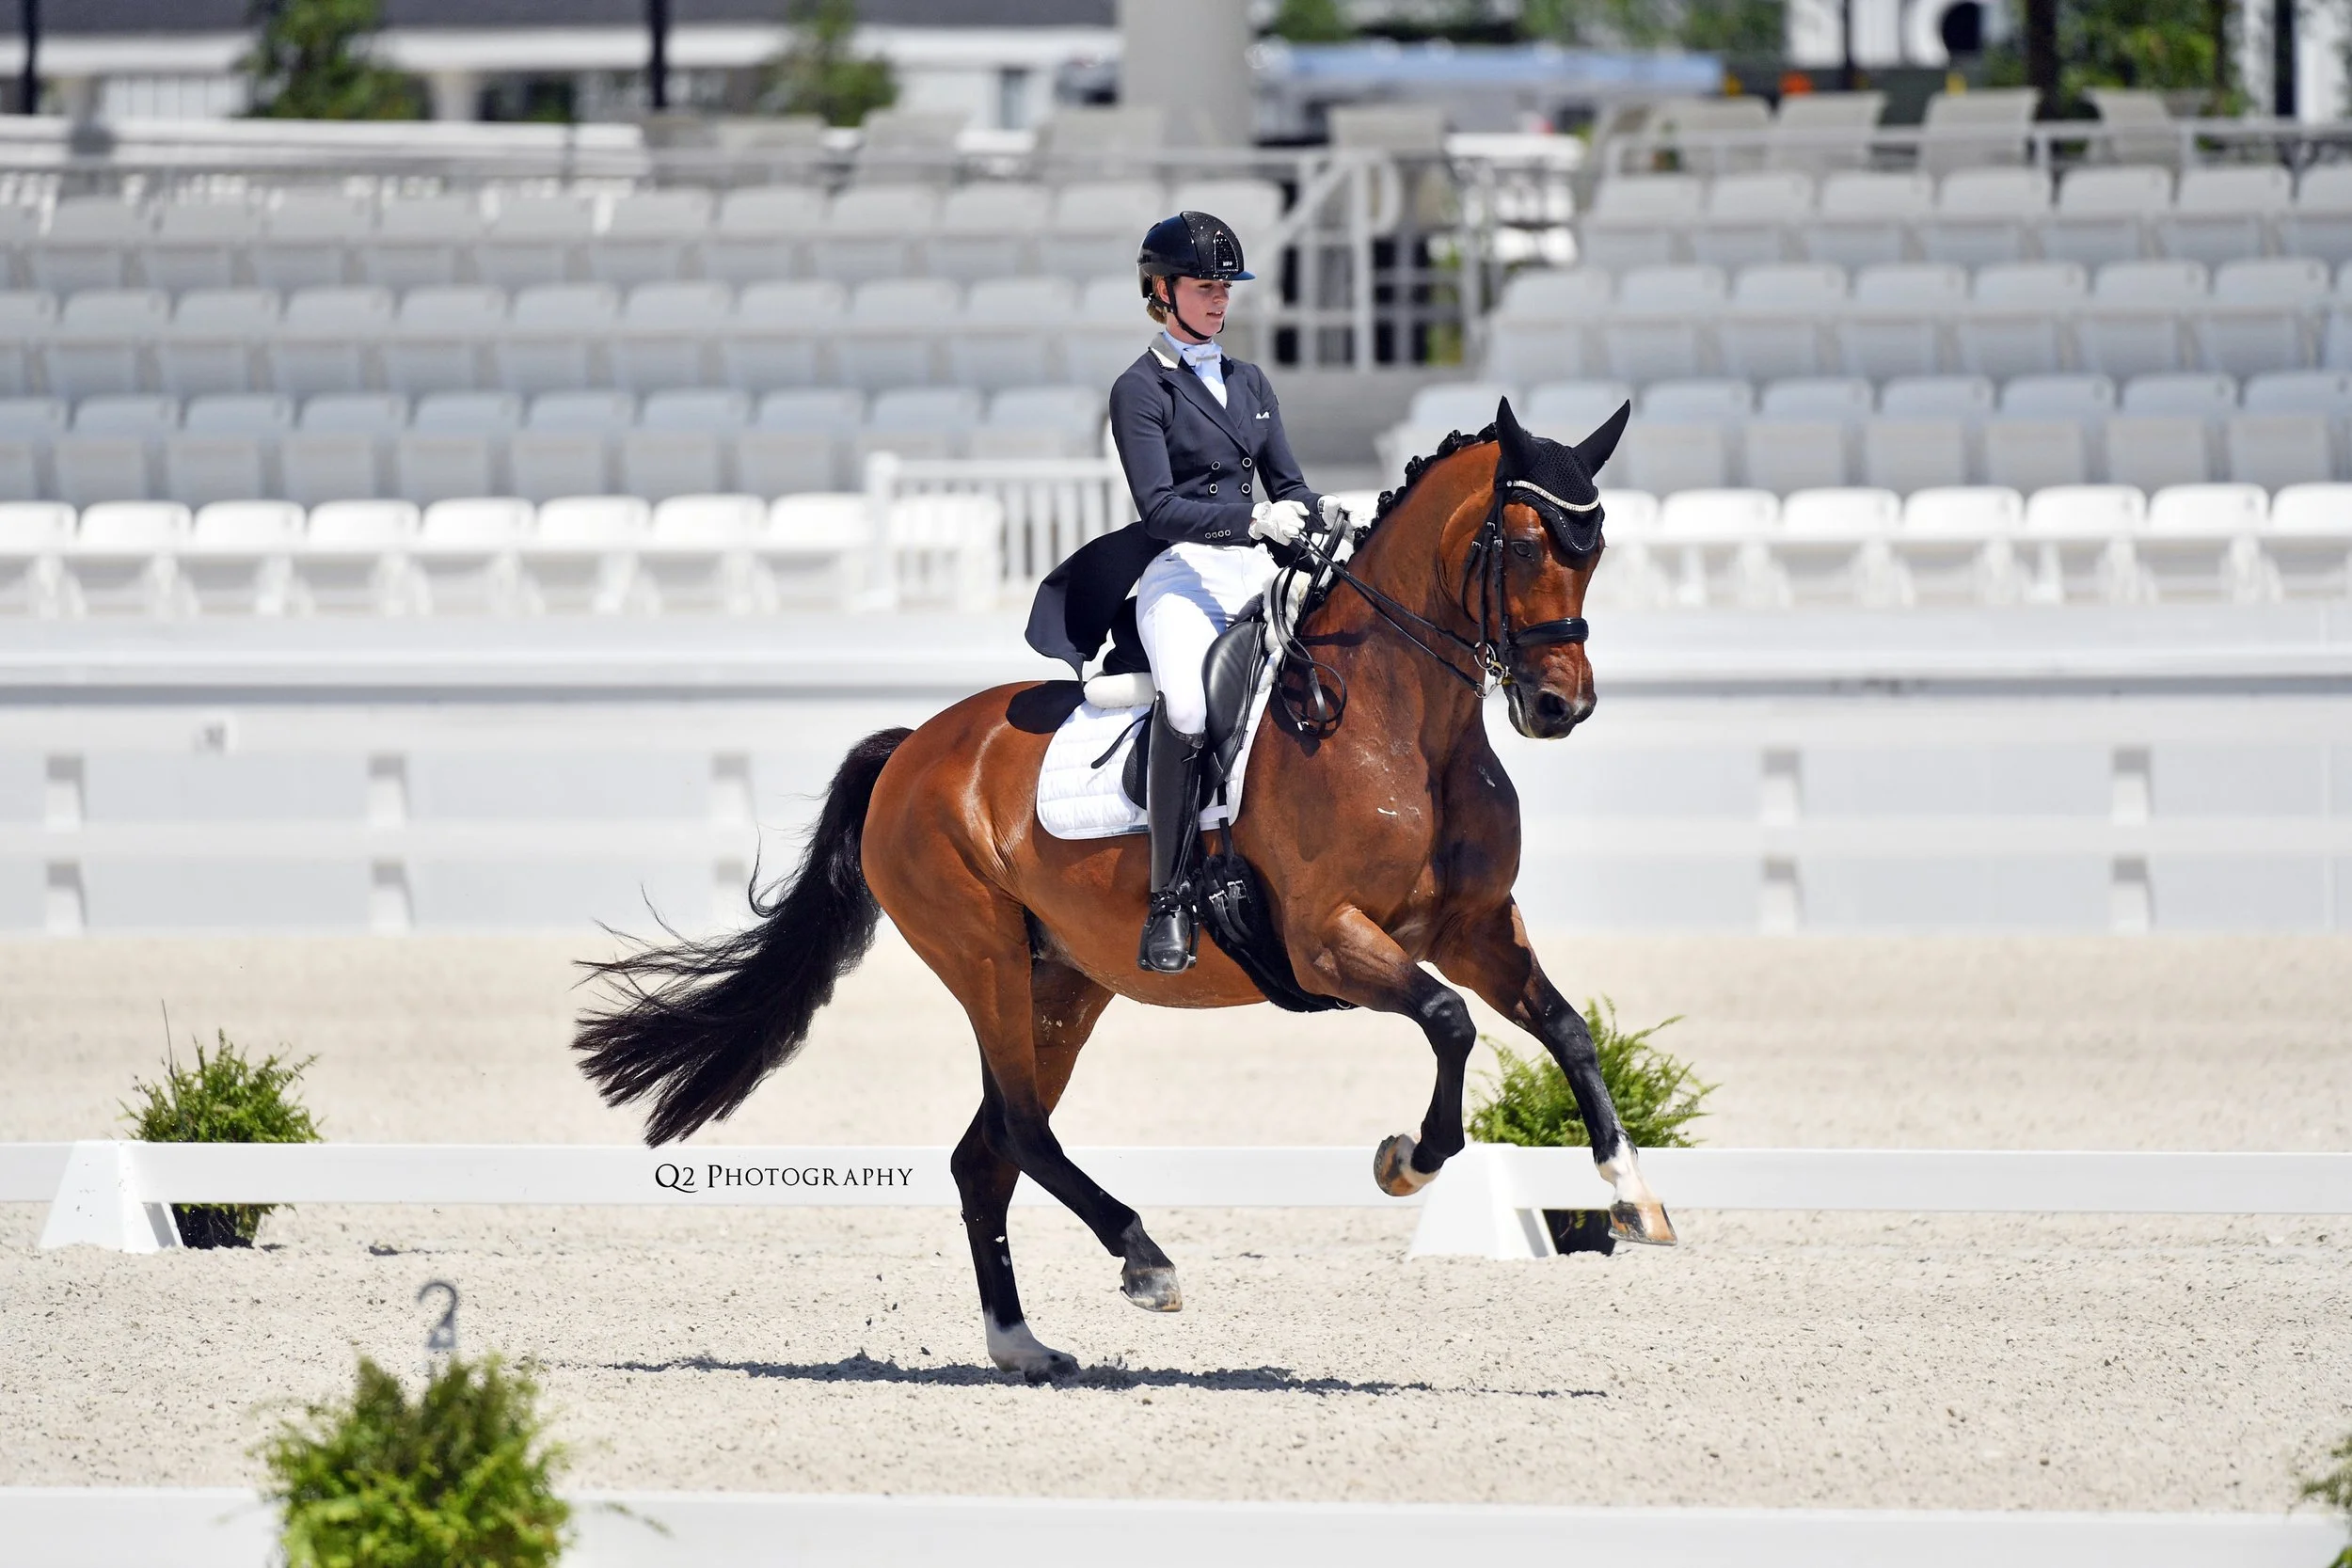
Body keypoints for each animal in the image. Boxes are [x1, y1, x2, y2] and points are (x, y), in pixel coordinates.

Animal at [574, 395, 1673, 1381]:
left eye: (1593, 549)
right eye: (1523, 545)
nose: (1558, 706)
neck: (1404, 723)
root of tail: (912, 748)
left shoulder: (1477, 927)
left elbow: (1566, 1027)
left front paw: (1631, 1194)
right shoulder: (1328, 939)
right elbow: (1450, 1021)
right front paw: (1408, 1158)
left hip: (1064, 984)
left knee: (986, 1153)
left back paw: (1023, 1345)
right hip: (984, 958)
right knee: (1020, 1128)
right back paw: (1144, 1260)